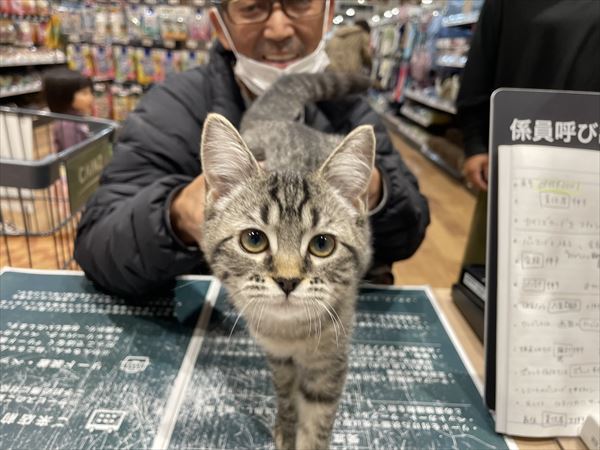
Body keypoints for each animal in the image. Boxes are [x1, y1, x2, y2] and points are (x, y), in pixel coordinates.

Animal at [199, 72, 375, 450]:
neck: (291, 332)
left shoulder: (330, 362)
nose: (288, 280)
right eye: (253, 240)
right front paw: (286, 425)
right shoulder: (278, 357)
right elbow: (285, 393)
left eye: (322, 244)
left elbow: (318, 419)